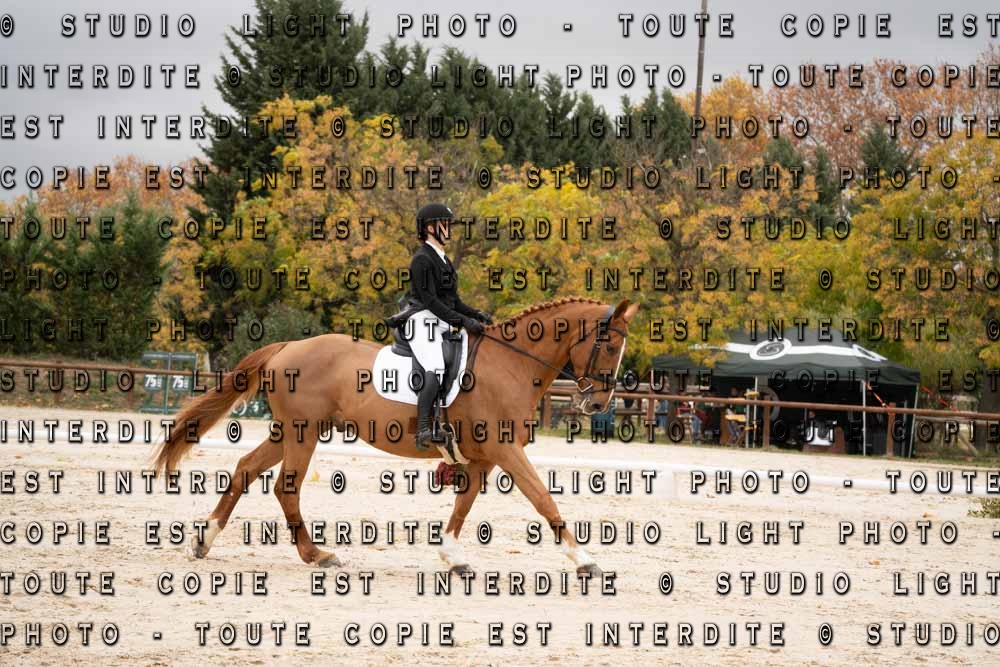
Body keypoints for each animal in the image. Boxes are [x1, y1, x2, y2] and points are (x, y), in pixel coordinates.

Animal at [153, 296, 640, 575]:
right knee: (285, 488)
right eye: (611, 345)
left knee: (245, 469)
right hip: (302, 432)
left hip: (289, 431)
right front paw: (584, 560)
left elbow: (463, 506)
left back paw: (205, 540)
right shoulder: (506, 449)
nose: (598, 405)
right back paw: (318, 556)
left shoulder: (483, 456)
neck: (512, 363)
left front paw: (453, 558)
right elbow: (543, 498)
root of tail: (287, 347)